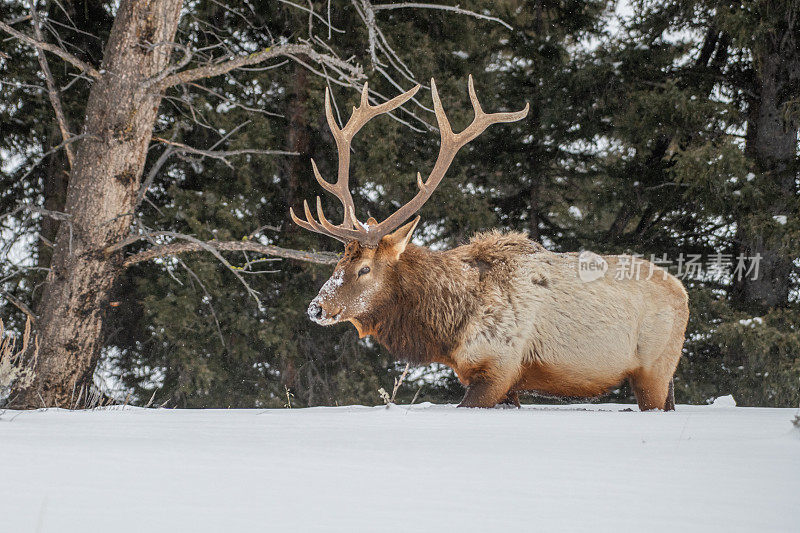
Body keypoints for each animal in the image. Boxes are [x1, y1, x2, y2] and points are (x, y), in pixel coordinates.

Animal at [290, 76, 692, 408]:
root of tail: (684, 292)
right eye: (338, 262)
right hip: (665, 376)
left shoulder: (499, 368)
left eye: (365, 268)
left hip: (655, 367)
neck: (450, 329)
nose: (315, 308)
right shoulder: (500, 383)